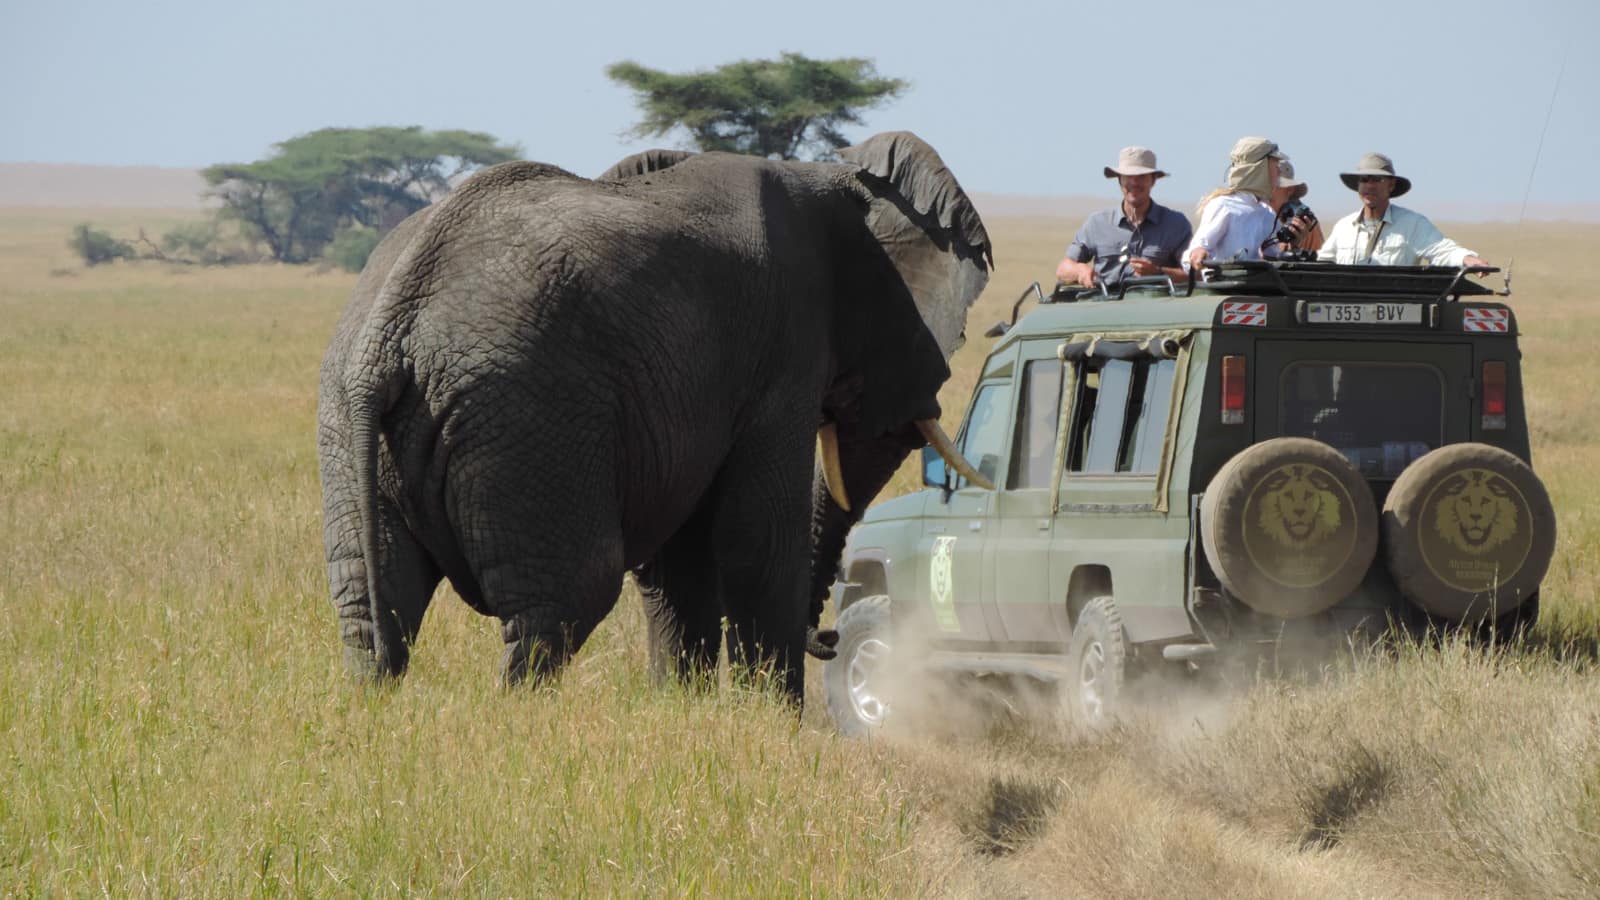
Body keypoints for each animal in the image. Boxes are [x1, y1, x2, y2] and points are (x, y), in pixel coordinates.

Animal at [315, 129, 985, 698]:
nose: (830, 636)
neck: (828, 175)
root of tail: (392, 327)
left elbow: (679, 555)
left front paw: (682, 710)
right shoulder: (784, 345)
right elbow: (757, 539)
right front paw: (770, 725)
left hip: (351, 426)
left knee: (373, 606)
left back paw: (374, 704)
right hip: (528, 420)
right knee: (564, 602)